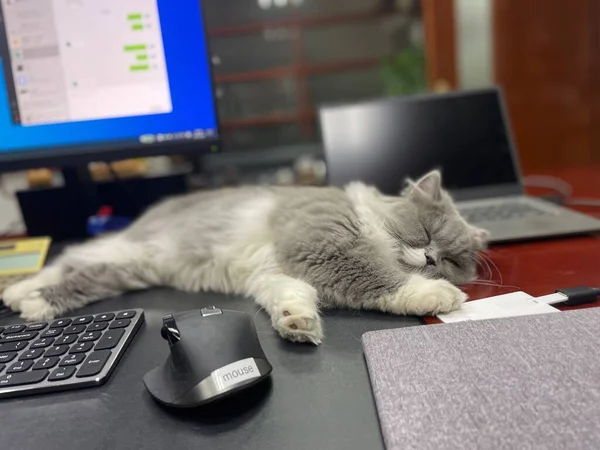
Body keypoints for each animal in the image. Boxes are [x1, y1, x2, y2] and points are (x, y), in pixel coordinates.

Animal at [2, 171, 488, 342]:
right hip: (127, 250)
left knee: (80, 273)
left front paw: (297, 323)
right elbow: (380, 278)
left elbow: (290, 298)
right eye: (425, 232)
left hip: (128, 268)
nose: (431, 259)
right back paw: (26, 296)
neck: (366, 216)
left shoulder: (277, 272)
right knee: (65, 262)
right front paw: (435, 294)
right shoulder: (326, 244)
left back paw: (23, 296)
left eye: (451, 257)